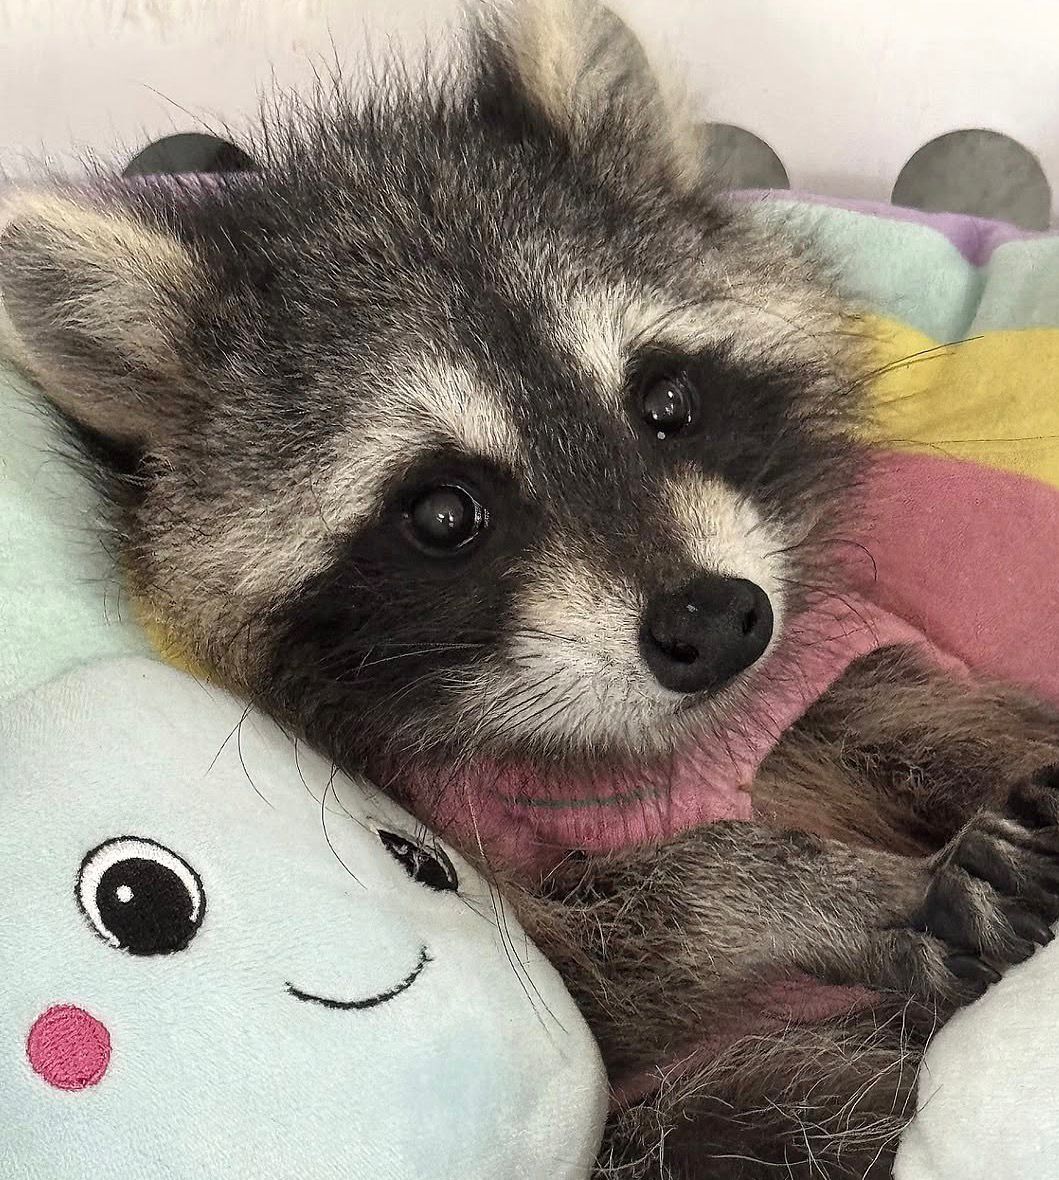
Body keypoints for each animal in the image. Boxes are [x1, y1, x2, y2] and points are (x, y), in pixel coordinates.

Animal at [3, 2, 1059, 1176]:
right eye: (442, 514)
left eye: (668, 402)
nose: (715, 624)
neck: (666, 736)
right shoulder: (477, 862)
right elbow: (588, 958)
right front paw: (786, 887)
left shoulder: (827, 661)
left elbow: (937, 717)